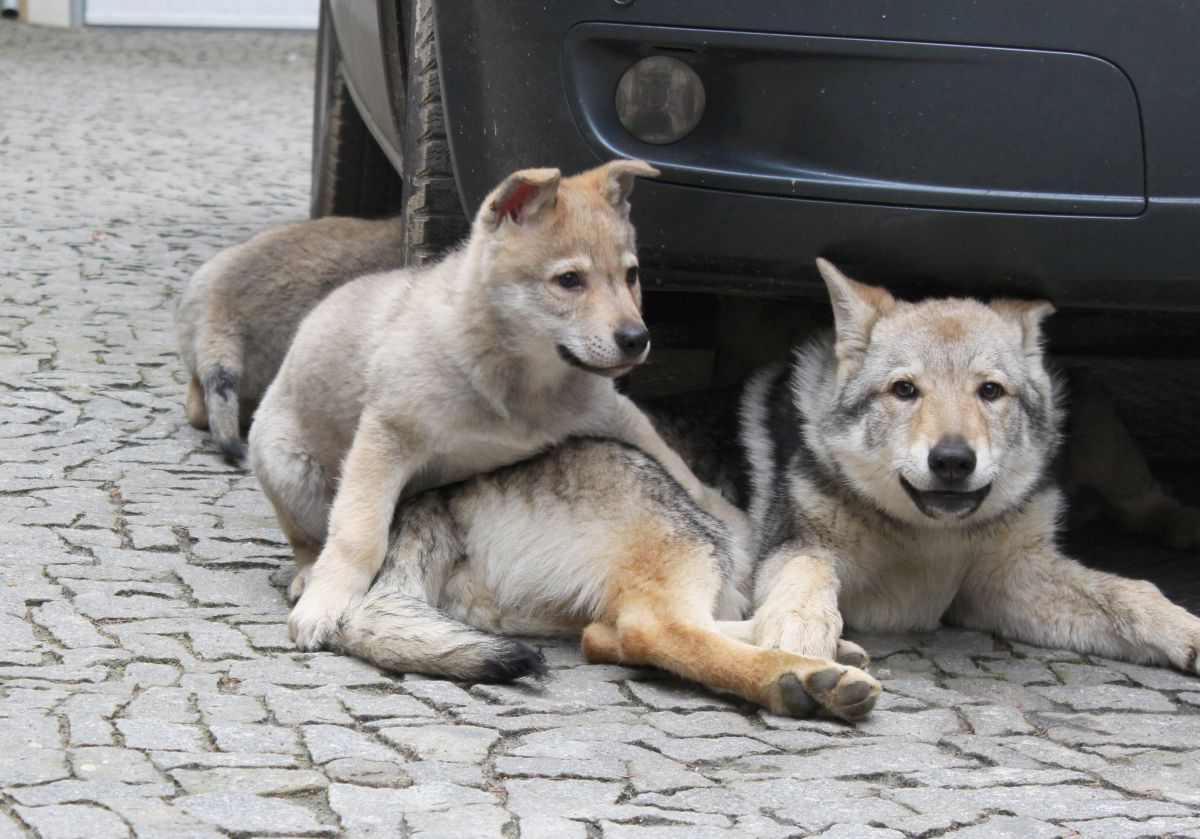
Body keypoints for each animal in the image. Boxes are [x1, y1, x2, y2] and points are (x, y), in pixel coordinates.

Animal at [248, 160, 744, 652]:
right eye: (569, 280)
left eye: (631, 275)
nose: (636, 339)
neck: (521, 384)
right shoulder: (386, 439)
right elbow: (358, 534)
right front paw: (326, 604)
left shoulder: (612, 413)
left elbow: (683, 473)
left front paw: (736, 527)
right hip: (289, 469)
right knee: (309, 539)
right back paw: (308, 576)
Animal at [336, 265, 1200, 720]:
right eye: (904, 391)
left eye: (991, 392)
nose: (953, 461)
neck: (927, 532)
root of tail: (436, 493)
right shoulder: (798, 548)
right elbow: (811, 590)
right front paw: (807, 639)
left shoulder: (1007, 581)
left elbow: (1135, 594)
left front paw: (1188, 632)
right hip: (705, 532)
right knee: (652, 629)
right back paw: (801, 679)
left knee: (611, 633)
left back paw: (816, 659)